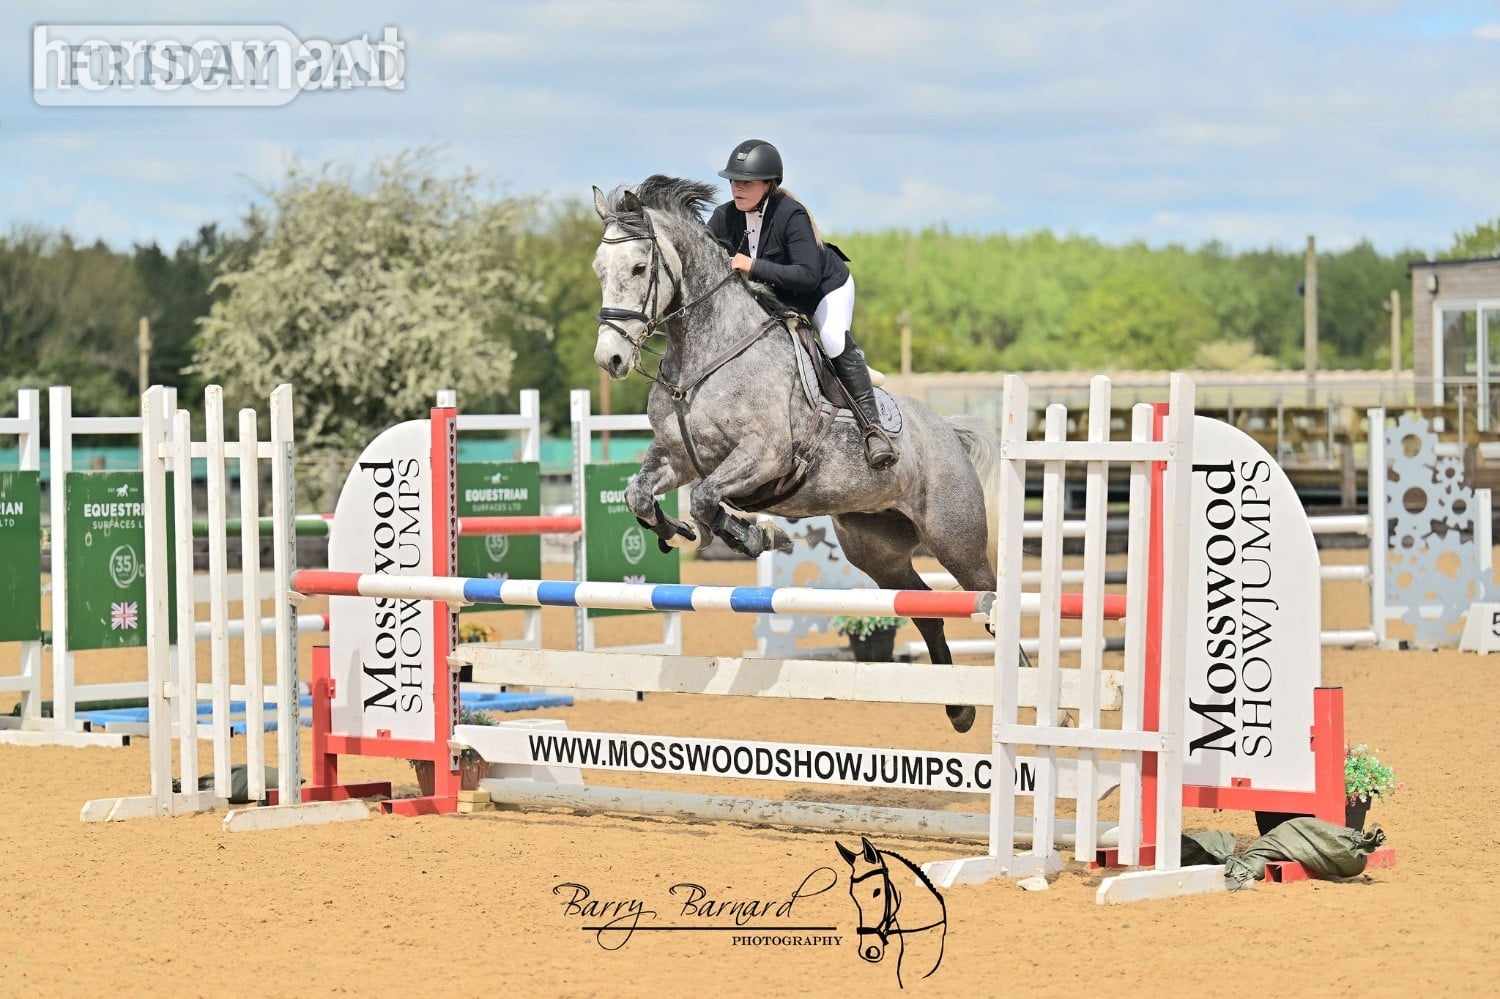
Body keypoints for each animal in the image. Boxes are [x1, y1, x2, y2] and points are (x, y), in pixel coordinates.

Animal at [590, 175, 1002, 733]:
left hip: (955, 540)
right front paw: (679, 531)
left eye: (638, 267)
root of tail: (949, 433)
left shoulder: (764, 456)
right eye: (599, 268)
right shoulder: (679, 457)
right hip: (878, 550)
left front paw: (754, 535)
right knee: (926, 608)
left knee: (992, 601)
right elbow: (641, 496)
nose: (609, 359)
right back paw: (959, 709)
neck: (705, 352)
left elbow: (705, 499)